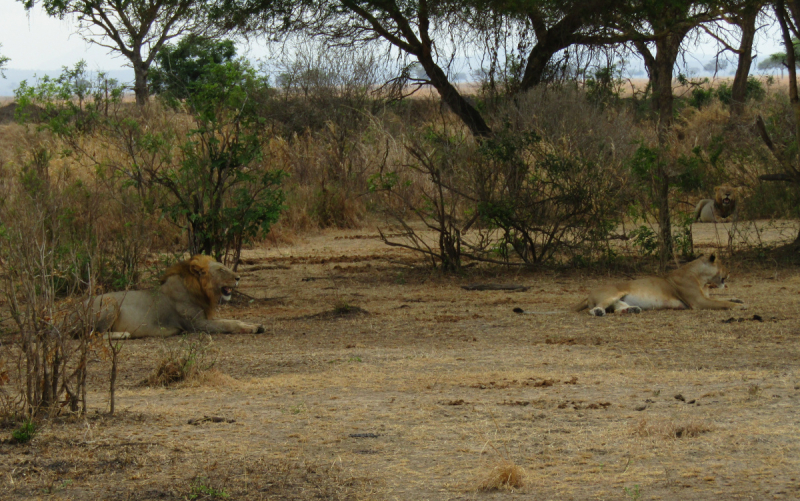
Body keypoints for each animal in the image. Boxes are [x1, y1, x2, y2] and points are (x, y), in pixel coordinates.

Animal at [87, 254, 264, 340]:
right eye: (221, 270)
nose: (238, 278)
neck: (199, 291)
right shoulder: (195, 324)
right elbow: (228, 324)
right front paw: (251, 328)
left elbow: (232, 320)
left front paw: (256, 325)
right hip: (111, 303)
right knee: (94, 336)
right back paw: (123, 334)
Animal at [512, 254, 744, 316]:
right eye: (723, 264)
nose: (730, 273)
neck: (703, 279)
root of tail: (589, 292)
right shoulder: (698, 302)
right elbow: (723, 304)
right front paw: (739, 306)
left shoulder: (706, 297)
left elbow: (724, 298)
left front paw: (739, 299)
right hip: (614, 292)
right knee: (595, 309)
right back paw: (599, 312)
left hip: (620, 298)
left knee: (616, 309)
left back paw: (633, 310)